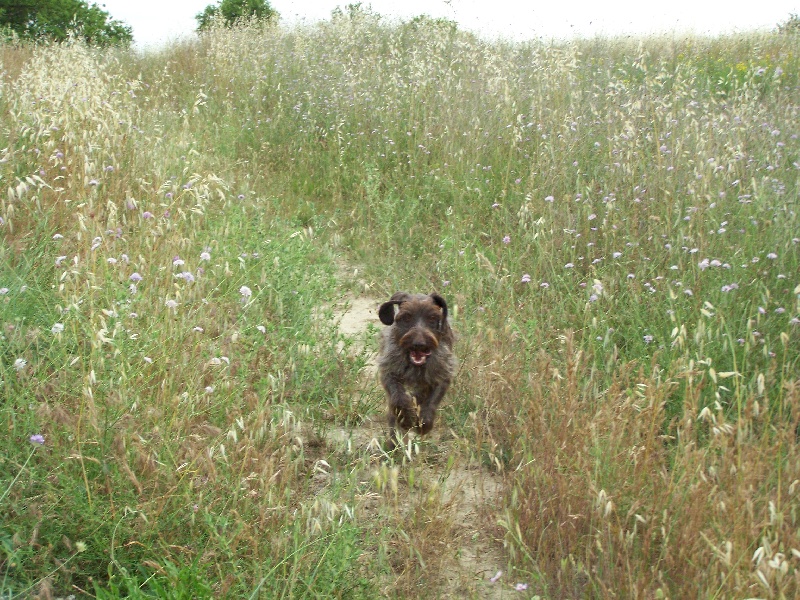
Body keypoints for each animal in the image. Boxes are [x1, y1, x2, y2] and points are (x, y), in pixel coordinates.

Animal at [376, 290, 456, 450]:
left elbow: (431, 402)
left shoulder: (442, 376)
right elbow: (398, 398)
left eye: (432, 318)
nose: (419, 344)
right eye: (407, 317)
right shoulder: (389, 372)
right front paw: (405, 417)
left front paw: (424, 422)